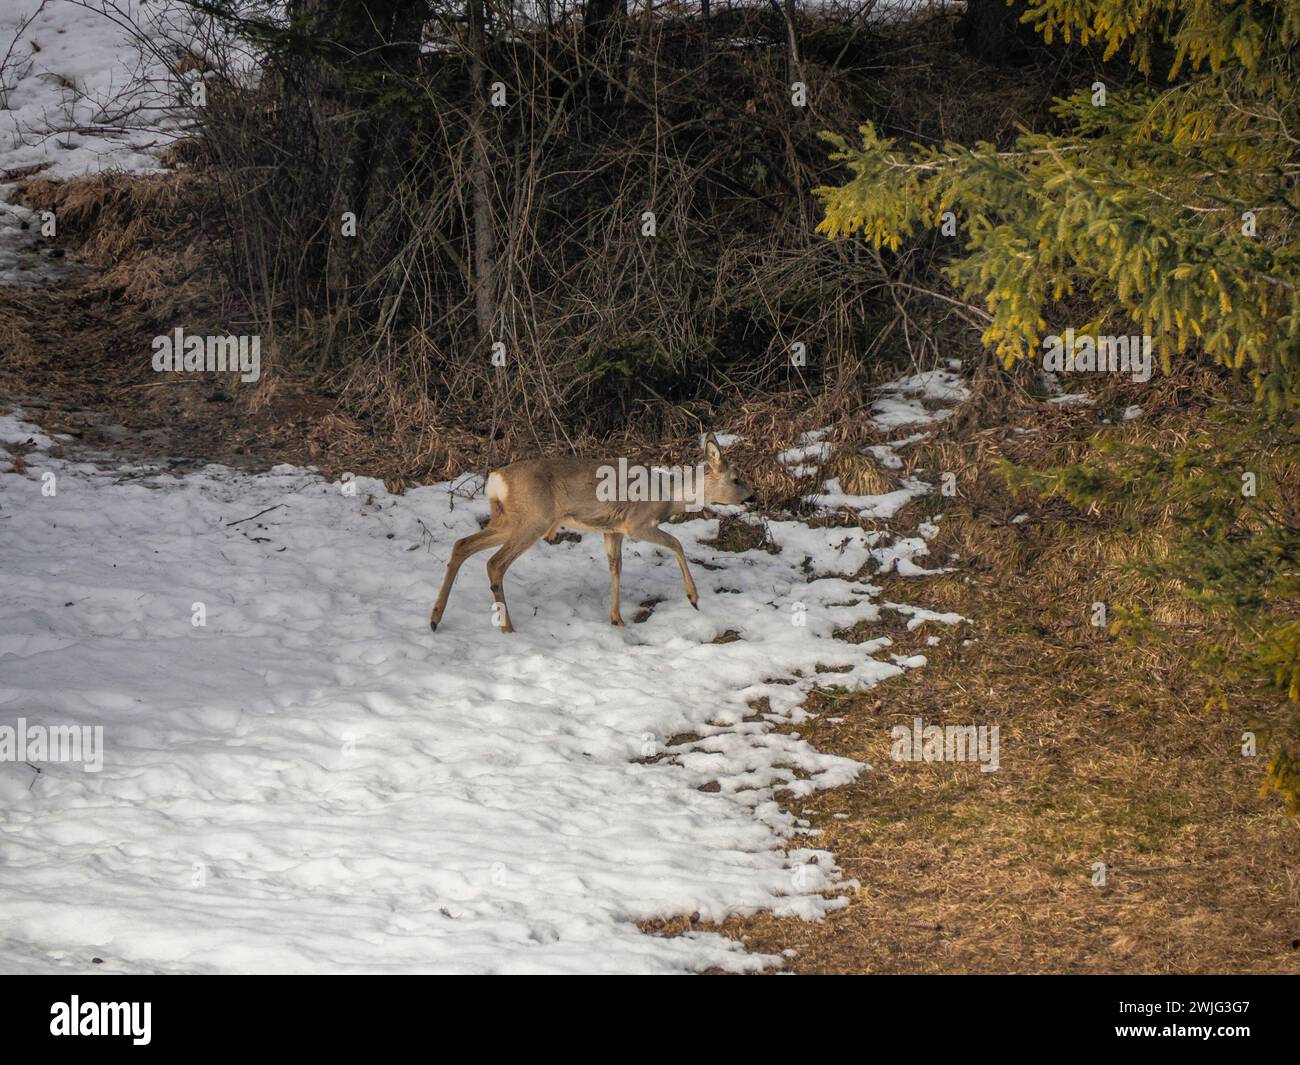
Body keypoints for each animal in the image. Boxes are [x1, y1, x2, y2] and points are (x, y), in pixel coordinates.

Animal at [429, 435, 754, 633]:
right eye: (736, 478)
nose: (753, 497)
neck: (668, 495)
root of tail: (497, 481)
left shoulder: (612, 530)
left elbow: (615, 568)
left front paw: (617, 619)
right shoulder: (637, 523)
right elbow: (676, 544)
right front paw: (694, 598)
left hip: (508, 519)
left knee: (461, 544)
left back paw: (434, 619)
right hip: (533, 519)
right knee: (494, 563)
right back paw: (507, 626)